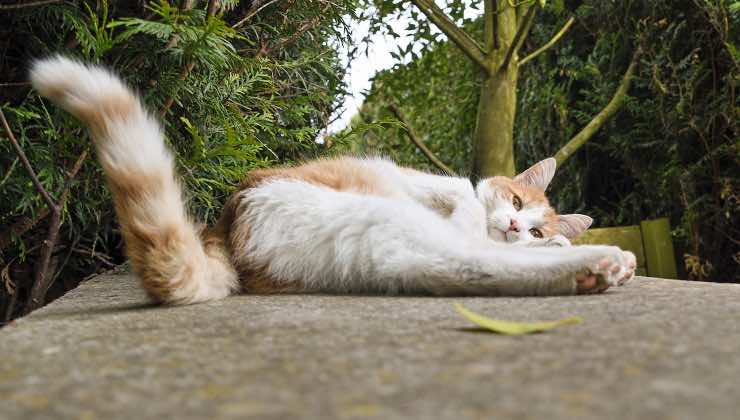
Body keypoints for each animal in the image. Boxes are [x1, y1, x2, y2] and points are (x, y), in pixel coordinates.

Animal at [26, 55, 632, 306]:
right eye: (515, 199)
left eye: (533, 223)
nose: (513, 226)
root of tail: (223, 229)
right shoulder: (422, 181)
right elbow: (460, 193)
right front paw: (474, 213)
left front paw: (552, 242)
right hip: (377, 215)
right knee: (465, 261)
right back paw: (596, 264)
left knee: (464, 268)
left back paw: (593, 266)